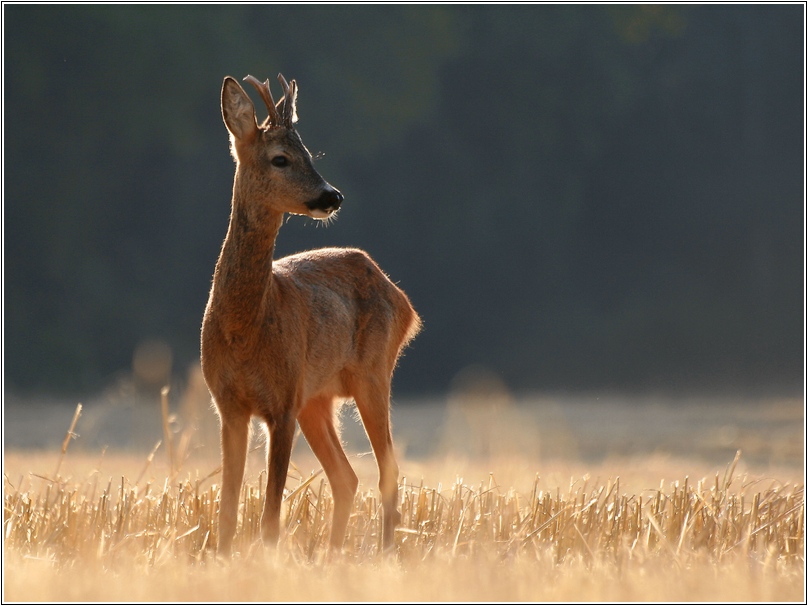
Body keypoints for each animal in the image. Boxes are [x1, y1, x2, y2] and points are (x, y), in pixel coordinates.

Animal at [200, 72, 422, 560]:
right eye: (280, 158)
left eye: (309, 153)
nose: (332, 195)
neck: (245, 329)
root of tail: (404, 301)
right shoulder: (229, 404)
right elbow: (227, 507)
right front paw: (223, 559)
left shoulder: (282, 401)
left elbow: (270, 512)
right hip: (317, 398)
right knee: (346, 477)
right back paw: (334, 555)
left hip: (372, 372)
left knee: (389, 471)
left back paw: (385, 556)